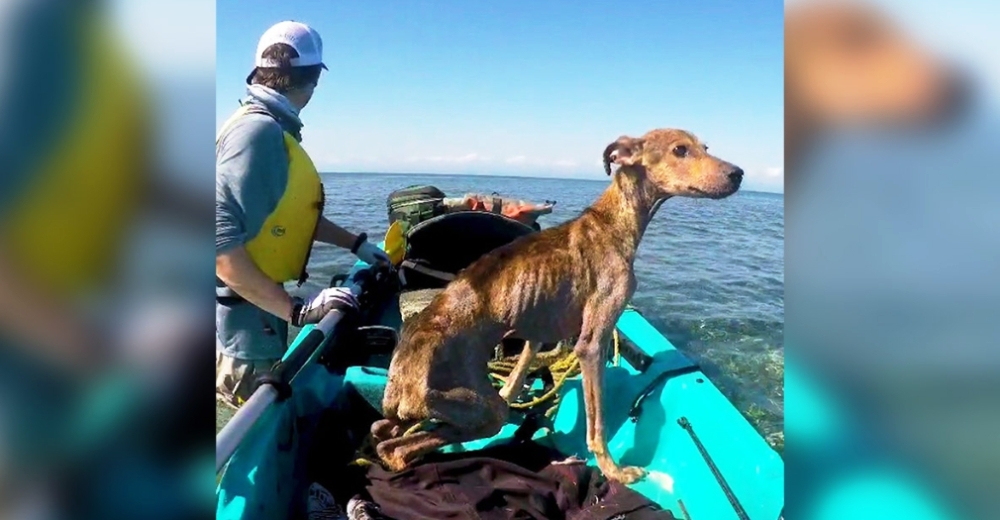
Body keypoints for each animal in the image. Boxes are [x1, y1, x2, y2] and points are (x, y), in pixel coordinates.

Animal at [374, 128, 744, 482]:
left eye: (705, 147)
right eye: (680, 149)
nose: (739, 173)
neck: (611, 222)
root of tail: (400, 376)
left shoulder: (538, 330)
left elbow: (516, 377)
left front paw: (518, 394)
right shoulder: (591, 343)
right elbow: (597, 423)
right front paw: (614, 471)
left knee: (385, 434)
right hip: (479, 408)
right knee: (397, 448)